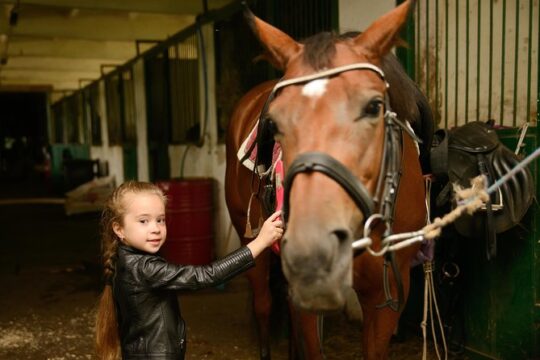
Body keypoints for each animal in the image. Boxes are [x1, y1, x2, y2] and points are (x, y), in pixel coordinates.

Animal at [226, 1, 432, 358]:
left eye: (374, 106)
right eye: (273, 122)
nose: (312, 249)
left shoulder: (387, 297)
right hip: (247, 236)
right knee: (263, 304)